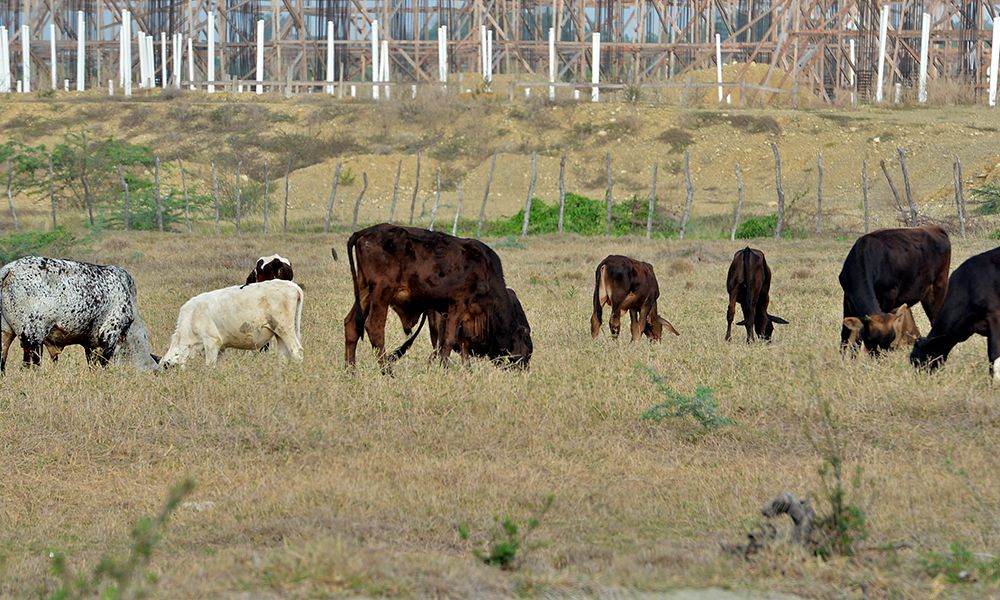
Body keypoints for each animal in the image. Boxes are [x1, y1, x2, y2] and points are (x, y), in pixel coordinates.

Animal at [0, 256, 158, 372]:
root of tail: (9, 269)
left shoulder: (91, 344)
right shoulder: (109, 334)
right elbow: (104, 364)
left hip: (6, 333)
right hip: (32, 337)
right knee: (29, 365)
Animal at [162, 280, 302, 368]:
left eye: (167, 367)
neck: (192, 317)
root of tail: (292, 286)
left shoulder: (212, 342)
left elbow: (209, 366)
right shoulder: (220, 348)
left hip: (285, 330)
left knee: (297, 352)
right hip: (279, 334)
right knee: (284, 356)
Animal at [344, 223, 532, 368]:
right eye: (526, 349)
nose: (524, 368)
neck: (485, 270)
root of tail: (364, 233)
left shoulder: (446, 313)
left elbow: (455, 344)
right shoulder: (457, 305)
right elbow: (448, 340)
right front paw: (444, 368)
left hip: (364, 292)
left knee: (352, 325)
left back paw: (350, 371)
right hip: (381, 294)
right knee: (374, 328)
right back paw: (387, 372)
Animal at [840, 226, 948, 356]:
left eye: (892, 338)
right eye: (870, 339)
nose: (880, 357)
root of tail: (935, 228)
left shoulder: (889, 297)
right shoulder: (847, 299)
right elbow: (847, 336)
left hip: (938, 290)